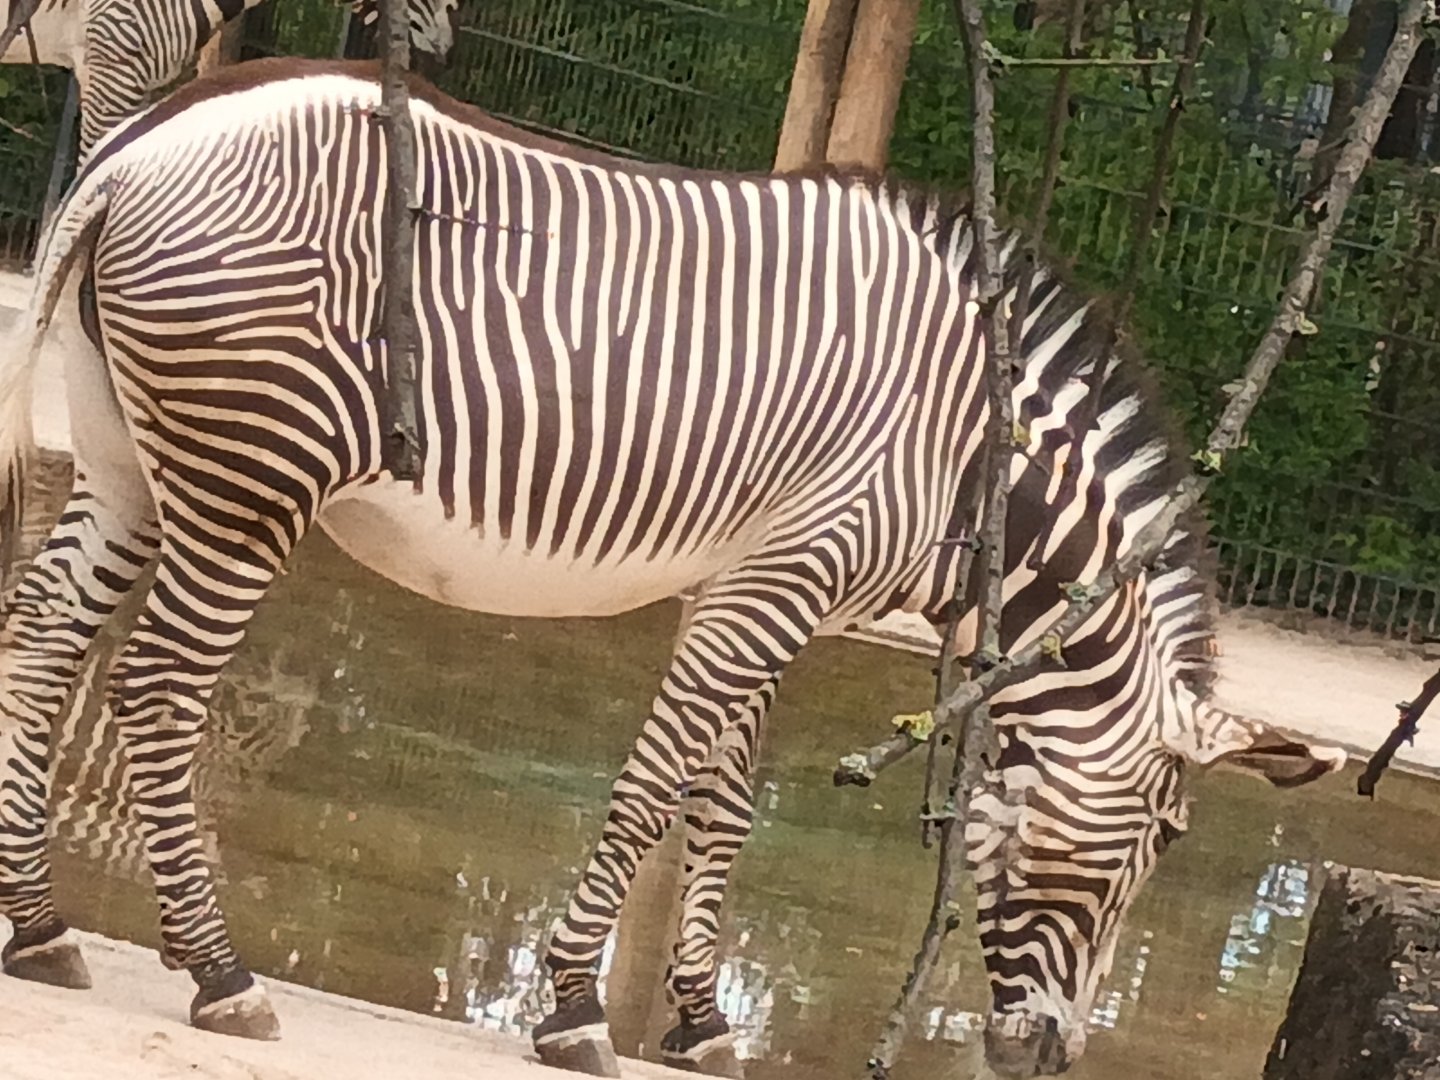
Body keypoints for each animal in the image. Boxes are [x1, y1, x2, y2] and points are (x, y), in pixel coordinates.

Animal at [0, 59, 1341, 1078]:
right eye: (1164, 834)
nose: (1052, 1056)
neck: (975, 463)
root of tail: (142, 141)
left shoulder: (765, 583)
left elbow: (723, 803)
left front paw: (697, 1022)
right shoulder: (783, 578)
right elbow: (655, 785)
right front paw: (576, 1008)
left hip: (126, 453)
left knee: (41, 643)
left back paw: (39, 927)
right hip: (252, 475)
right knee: (157, 689)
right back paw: (219, 972)